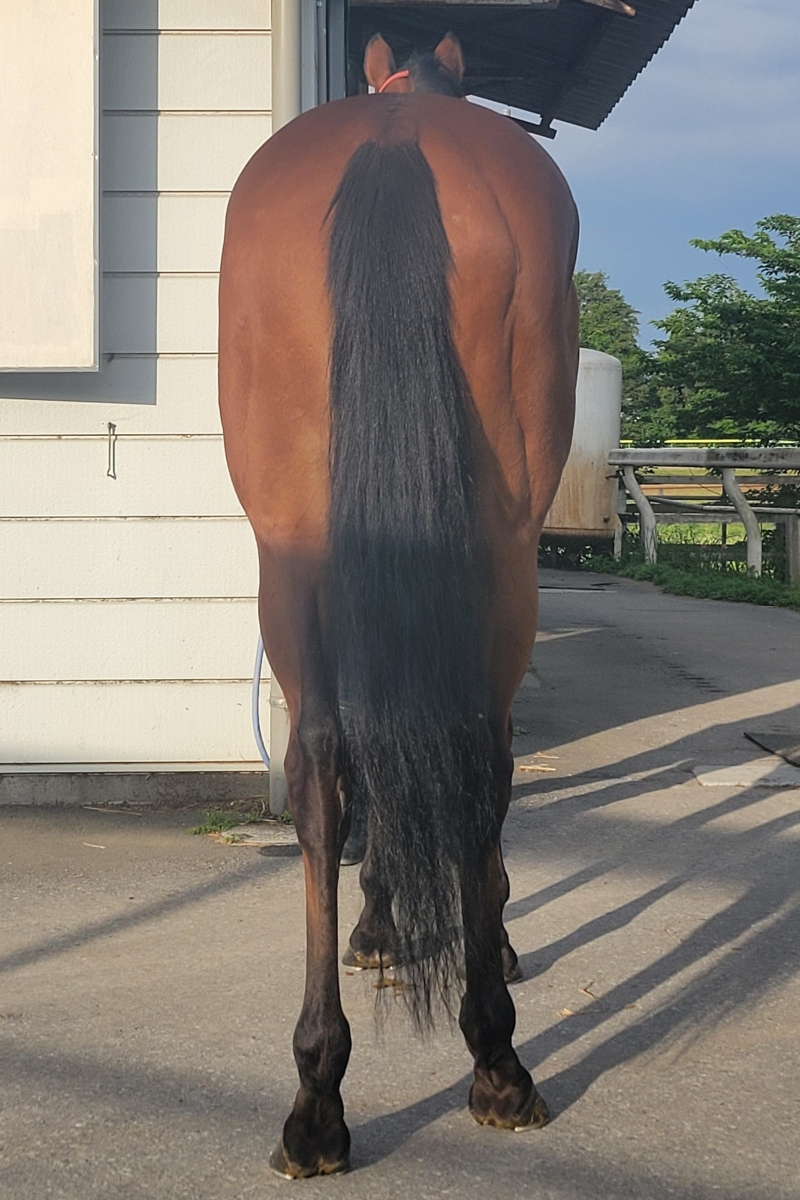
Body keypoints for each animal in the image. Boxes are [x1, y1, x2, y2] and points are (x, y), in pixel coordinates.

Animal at [218, 32, 579, 1178]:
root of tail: (392, 137)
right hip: (501, 563)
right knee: (472, 763)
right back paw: (495, 1060)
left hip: (288, 557)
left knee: (325, 767)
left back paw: (317, 1099)